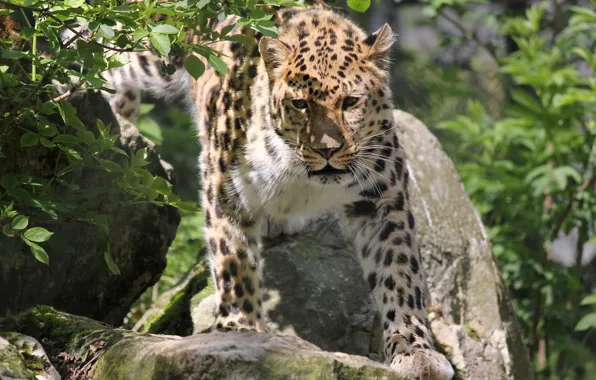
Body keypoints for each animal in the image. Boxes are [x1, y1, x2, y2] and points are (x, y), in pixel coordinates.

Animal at [85, 3, 456, 380]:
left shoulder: (384, 197)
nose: (326, 150)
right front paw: (239, 331)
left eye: (351, 101)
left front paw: (415, 350)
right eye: (300, 104)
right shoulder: (224, 185)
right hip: (155, 51)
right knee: (108, 54)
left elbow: (399, 272)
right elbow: (233, 261)